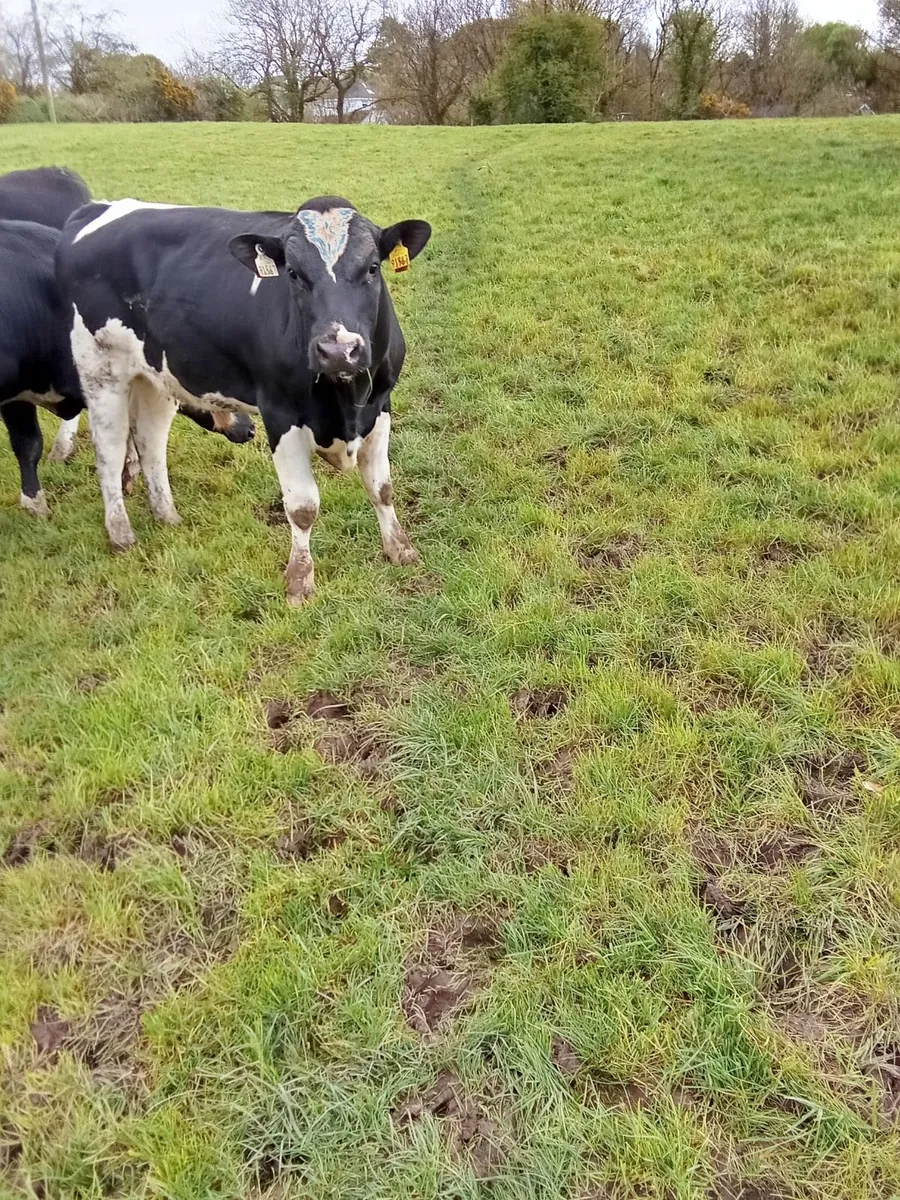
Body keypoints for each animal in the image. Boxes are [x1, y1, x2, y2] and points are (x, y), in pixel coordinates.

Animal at [56, 195, 431, 601]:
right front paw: (299, 580)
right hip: (100, 370)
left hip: (157, 376)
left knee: (150, 442)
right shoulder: (280, 414)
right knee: (108, 454)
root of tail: (97, 207)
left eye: (373, 267)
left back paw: (167, 515)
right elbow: (302, 506)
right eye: (293, 274)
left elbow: (382, 488)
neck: (344, 401)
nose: (338, 350)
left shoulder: (380, 405)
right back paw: (121, 534)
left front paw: (400, 549)